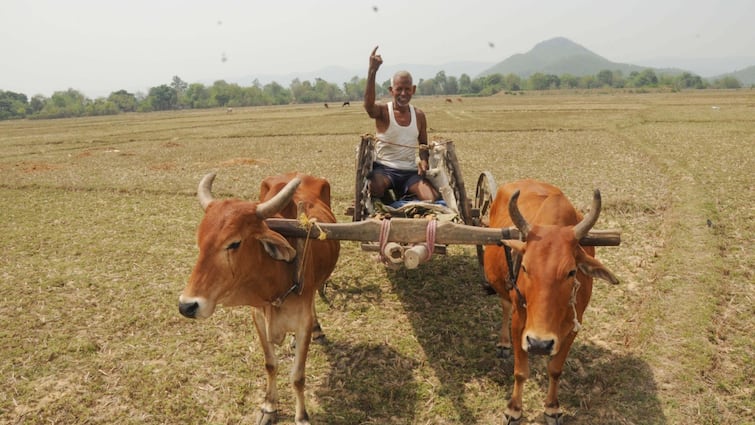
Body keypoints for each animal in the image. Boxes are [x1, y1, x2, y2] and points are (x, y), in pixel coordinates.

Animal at [180, 171, 340, 422]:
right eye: (200, 242)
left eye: (234, 243)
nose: (187, 306)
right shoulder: (258, 316)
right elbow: (270, 364)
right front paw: (269, 406)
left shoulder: (302, 322)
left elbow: (297, 376)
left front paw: (301, 416)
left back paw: (318, 330)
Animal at [484, 179, 620, 424]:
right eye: (525, 267)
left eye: (571, 272)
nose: (539, 344)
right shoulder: (520, 324)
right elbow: (521, 371)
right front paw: (514, 409)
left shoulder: (573, 325)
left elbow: (555, 369)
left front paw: (552, 407)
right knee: (505, 306)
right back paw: (503, 343)